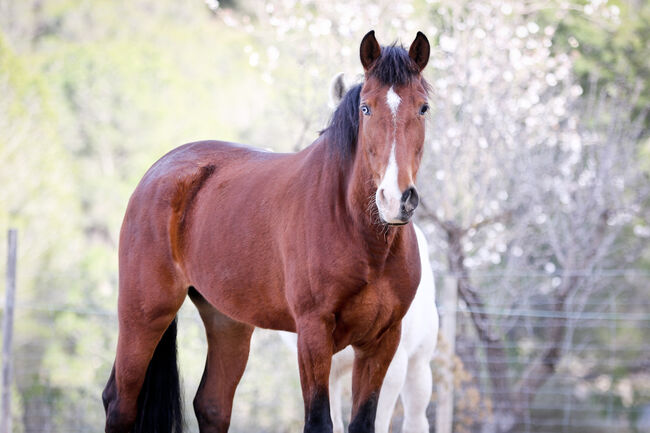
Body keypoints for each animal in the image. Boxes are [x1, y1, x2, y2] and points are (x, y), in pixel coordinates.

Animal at [102, 31, 430, 432]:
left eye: (423, 108)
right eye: (366, 108)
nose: (396, 199)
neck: (362, 237)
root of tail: (158, 171)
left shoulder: (382, 341)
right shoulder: (313, 334)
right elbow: (318, 421)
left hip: (227, 321)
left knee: (212, 404)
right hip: (144, 314)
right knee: (120, 402)